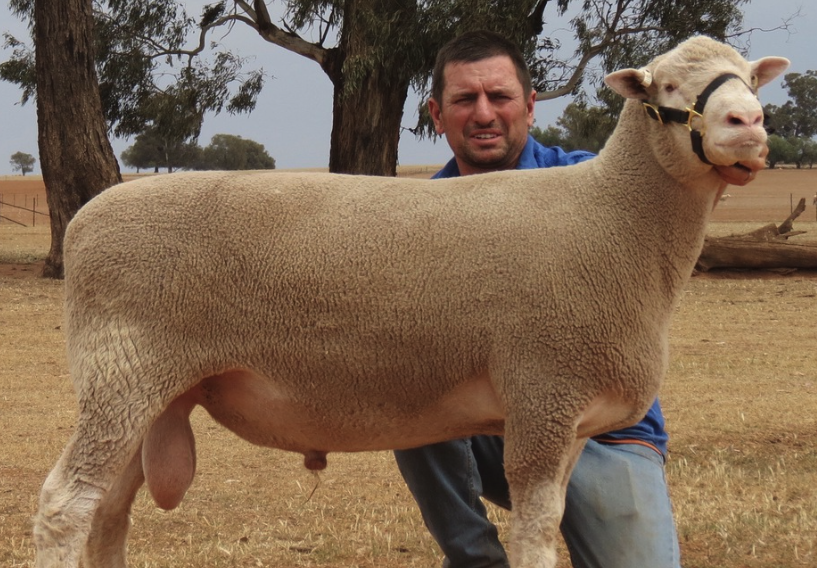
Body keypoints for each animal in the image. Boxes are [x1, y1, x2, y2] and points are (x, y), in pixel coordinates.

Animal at [33, 35, 792, 568]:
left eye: (751, 78)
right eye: (666, 85)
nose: (748, 123)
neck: (614, 218)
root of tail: (85, 219)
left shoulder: (572, 417)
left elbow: (547, 524)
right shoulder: (543, 394)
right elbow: (535, 537)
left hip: (147, 389)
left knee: (108, 511)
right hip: (122, 369)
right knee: (66, 506)